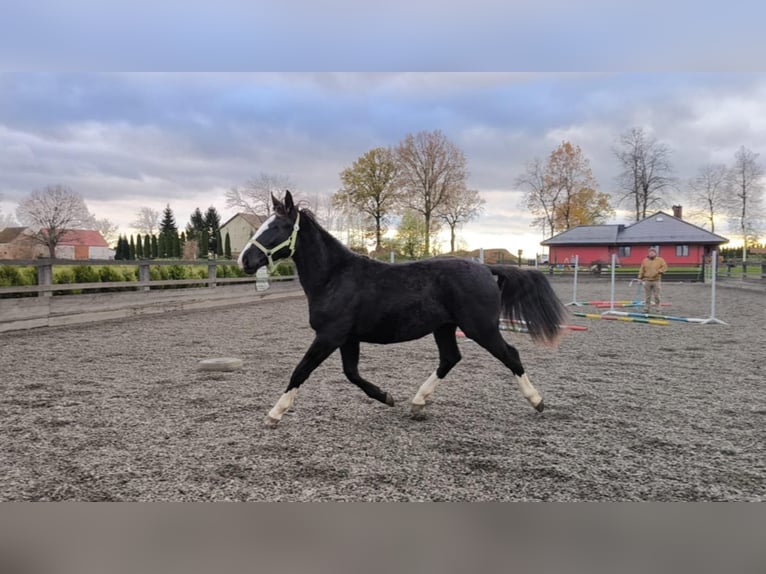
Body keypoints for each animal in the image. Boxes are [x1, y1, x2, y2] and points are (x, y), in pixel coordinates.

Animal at [242, 192, 568, 428]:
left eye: (277, 227)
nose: (245, 260)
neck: (335, 277)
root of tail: (486, 269)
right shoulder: (347, 338)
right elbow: (351, 374)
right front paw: (386, 397)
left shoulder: (329, 336)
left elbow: (301, 371)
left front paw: (274, 414)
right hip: (445, 327)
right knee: (450, 358)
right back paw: (417, 403)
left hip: (480, 327)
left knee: (510, 355)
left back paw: (537, 401)